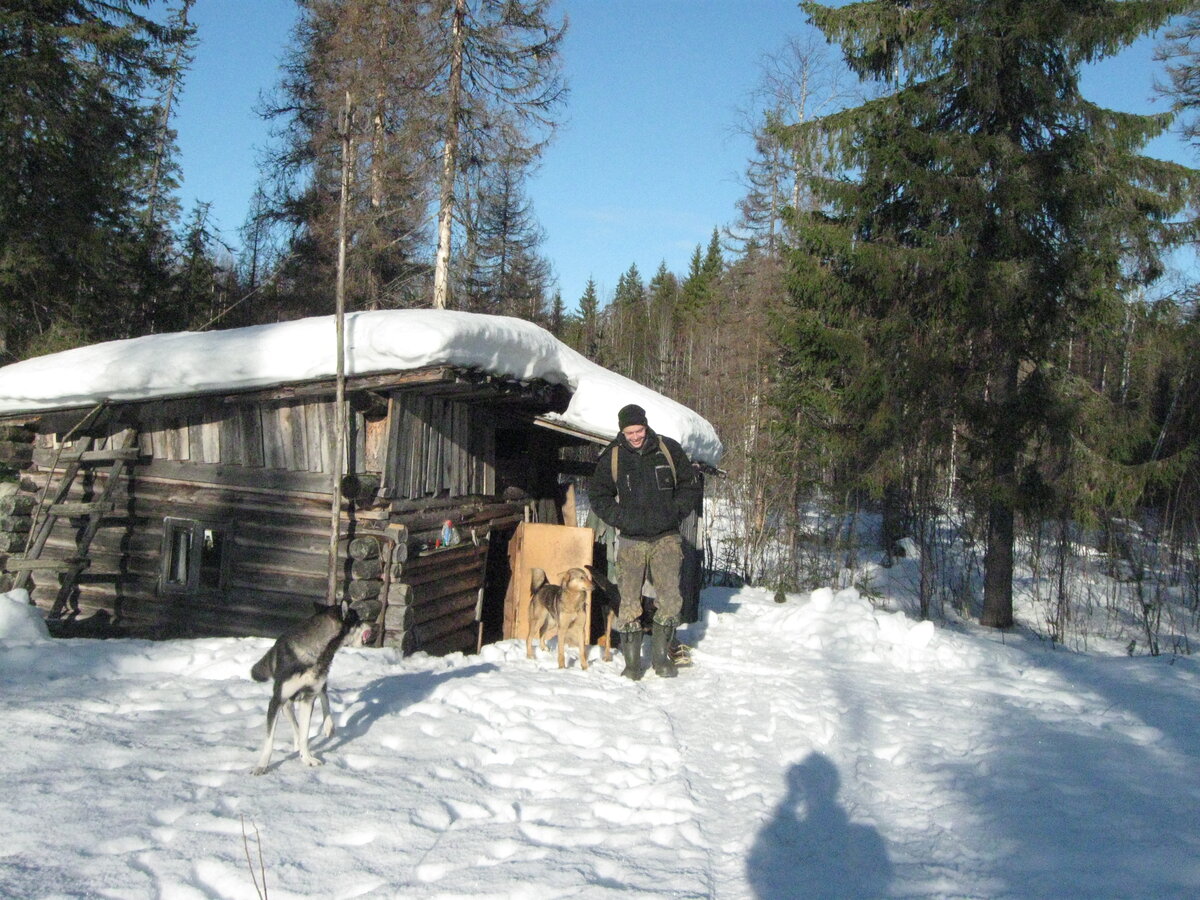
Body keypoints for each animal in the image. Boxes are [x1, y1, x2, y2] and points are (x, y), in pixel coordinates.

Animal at [253, 600, 360, 777]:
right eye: (358, 621)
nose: (372, 627)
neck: (312, 651)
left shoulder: (309, 697)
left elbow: (305, 733)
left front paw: (307, 759)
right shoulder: (277, 700)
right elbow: (271, 740)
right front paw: (261, 766)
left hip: (320, 680)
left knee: (324, 695)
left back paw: (328, 726)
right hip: (286, 702)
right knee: (292, 716)